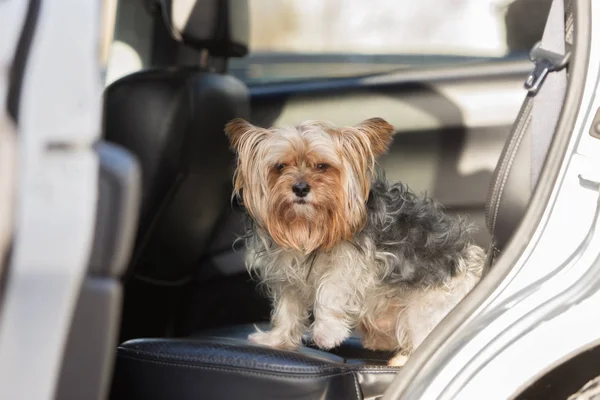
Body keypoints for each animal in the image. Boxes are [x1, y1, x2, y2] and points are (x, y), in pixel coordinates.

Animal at [224, 116, 482, 366]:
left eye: (322, 166)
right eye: (280, 166)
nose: (300, 188)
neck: (310, 226)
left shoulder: (357, 263)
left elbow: (330, 288)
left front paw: (327, 333)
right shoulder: (287, 272)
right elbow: (287, 309)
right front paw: (276, 340)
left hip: (425, 307)